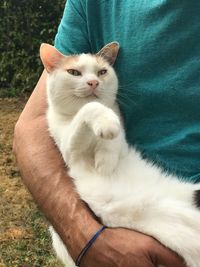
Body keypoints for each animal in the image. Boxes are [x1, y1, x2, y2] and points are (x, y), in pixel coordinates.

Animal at [39, 42, 200, 267]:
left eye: (102, 71)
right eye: (74, 72)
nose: (93, 82)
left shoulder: (121, 143)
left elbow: (115, 137)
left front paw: (106, 159)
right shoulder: (71, 151)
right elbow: (90, 108)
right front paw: (105, 128)